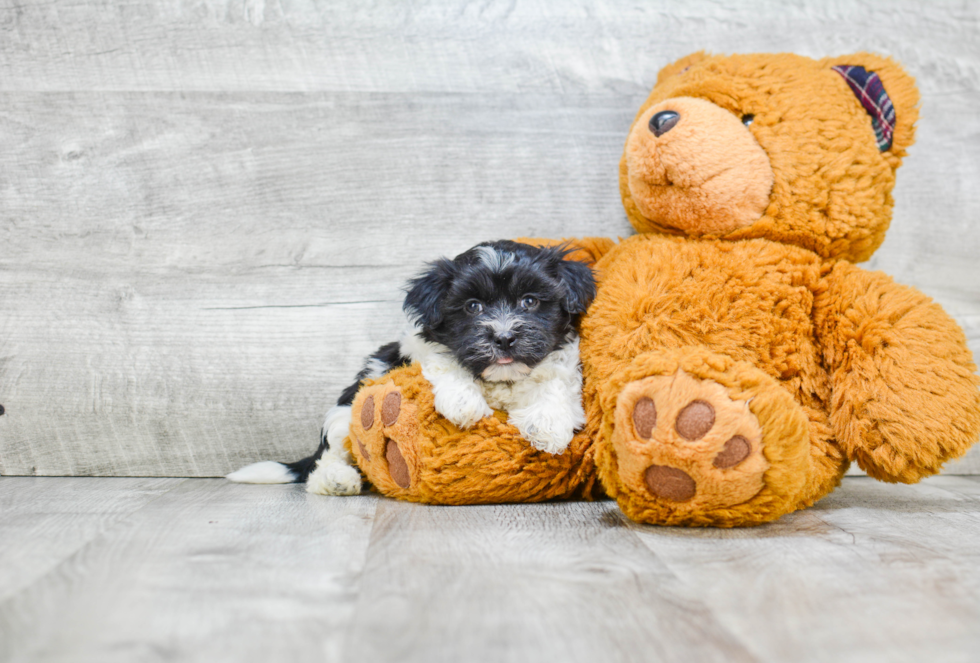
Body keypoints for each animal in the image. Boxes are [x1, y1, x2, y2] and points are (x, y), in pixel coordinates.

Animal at [228, 241, 596, 496]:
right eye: (472, 307)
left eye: (530, 301)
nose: (504, 338)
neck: (500, 380)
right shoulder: (415, 349)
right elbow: (443, 359)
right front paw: (464, 402)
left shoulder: (562, 361)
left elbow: (555, 382)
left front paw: (547, 425)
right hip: (344, 416)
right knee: (330, 457)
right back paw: (337, 480)